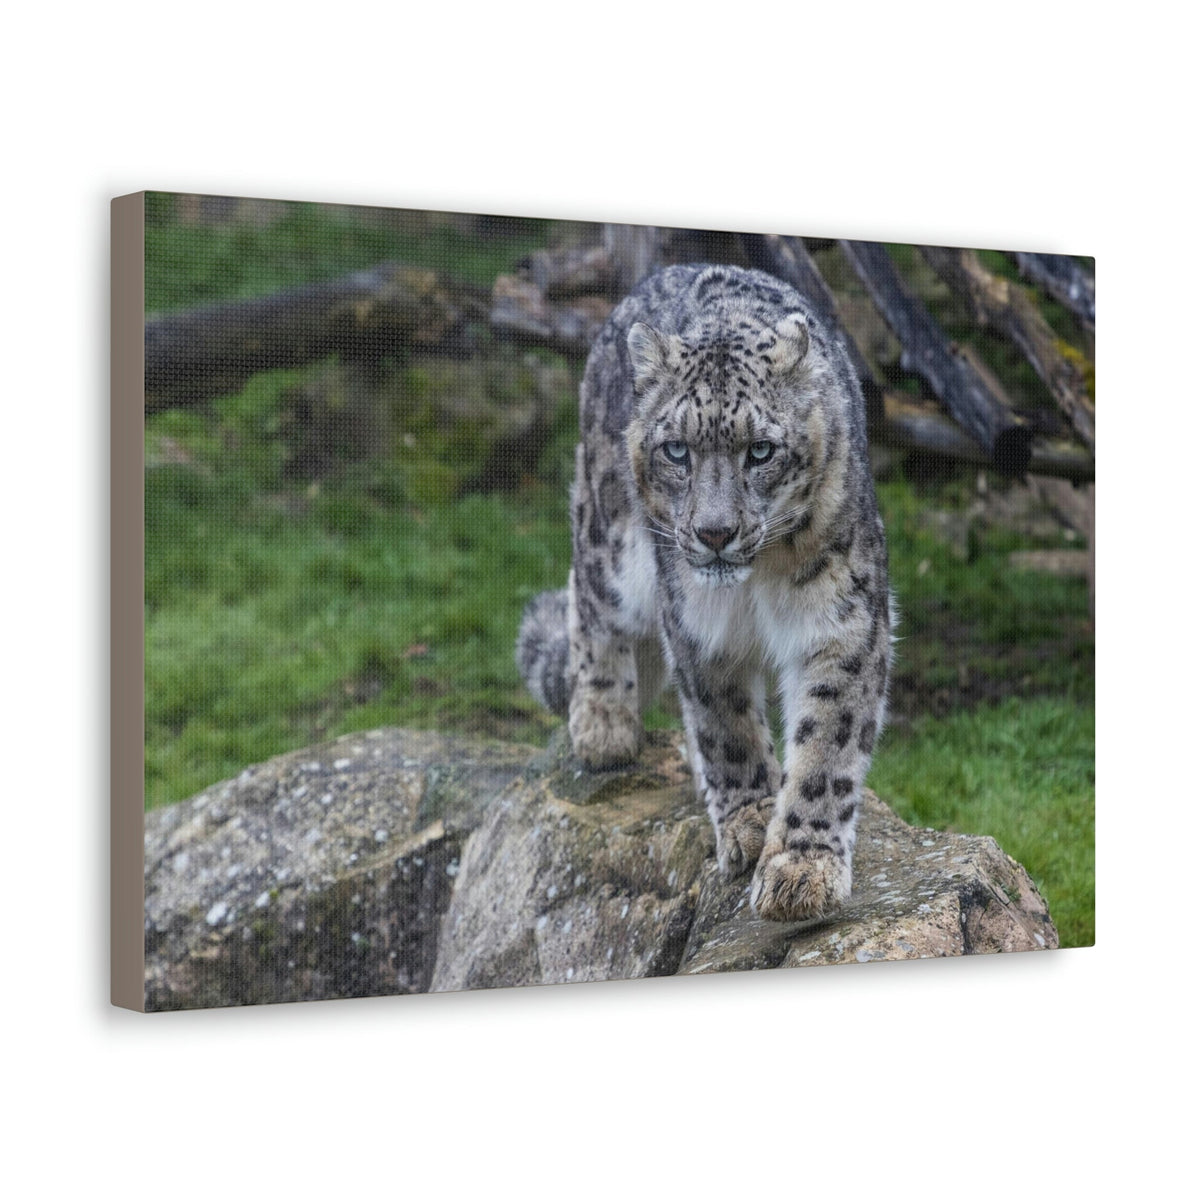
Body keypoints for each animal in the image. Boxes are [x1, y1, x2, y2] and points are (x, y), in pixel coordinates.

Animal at [517, 263, 894, 922]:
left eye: (760, 450)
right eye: (677, 450)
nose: (715, 533)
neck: (756, 584)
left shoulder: (843, 622)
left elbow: (826, 746)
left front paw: (801, 868)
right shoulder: (696, 625)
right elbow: (726, 725)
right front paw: (749, 821)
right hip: (612, 543)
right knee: (587, 598)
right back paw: (603, 723)